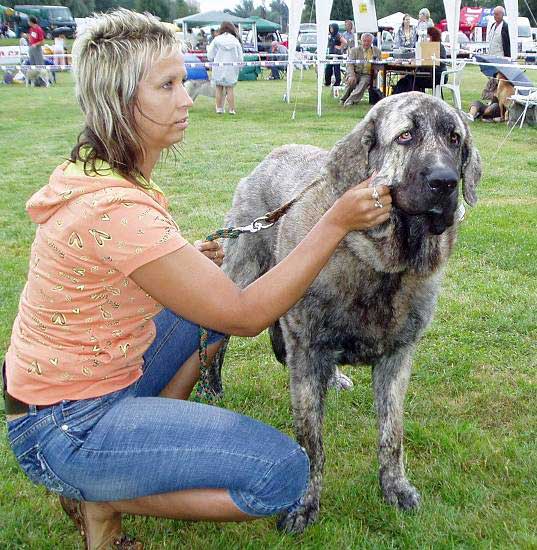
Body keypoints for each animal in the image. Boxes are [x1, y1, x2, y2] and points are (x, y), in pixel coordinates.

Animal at [208, 95, 478, 536]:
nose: (445, 182)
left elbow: (391, 435)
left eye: (455, 138)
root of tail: (271, 156)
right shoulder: (306, 354)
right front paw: (304, 505)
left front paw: (395, 489)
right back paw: (212, 387)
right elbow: (311, 443)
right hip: (242, 277)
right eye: (406, 136)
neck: (379, 264)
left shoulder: (397, 359)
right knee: (216, 338)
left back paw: (334, 378)